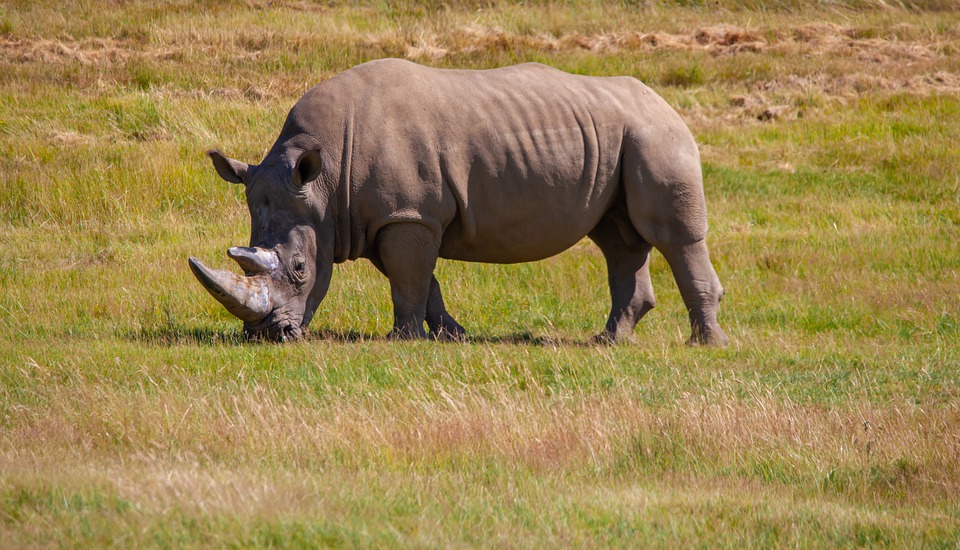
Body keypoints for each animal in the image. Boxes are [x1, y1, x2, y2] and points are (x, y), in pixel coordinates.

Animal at [189, 59, 729, 346]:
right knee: (617, 239)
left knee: (671, 236)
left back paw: (705, 344)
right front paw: (453, 335)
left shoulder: (406, 215)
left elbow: (407, 282)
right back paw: (610, 341)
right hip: (617, 138)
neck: (322, 183)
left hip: (655, 133)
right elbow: (420, 281)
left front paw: (401, 341)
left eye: (301, 269)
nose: (269, 336)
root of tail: (663, 100)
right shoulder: (389, 218)